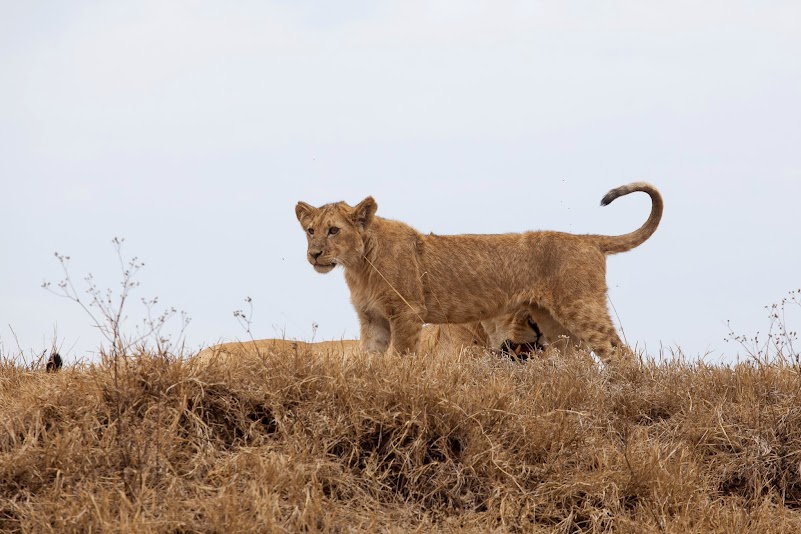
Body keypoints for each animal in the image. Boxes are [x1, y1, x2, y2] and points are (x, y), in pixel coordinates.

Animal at [296, 182, 660, 362]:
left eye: (333, 231)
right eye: (310, 230)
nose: (314, 254)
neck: (359, 265)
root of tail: (588, 239)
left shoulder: (407, 313)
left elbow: (399, 358)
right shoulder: (372, 319)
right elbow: (370, 360)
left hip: (580, 309)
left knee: (620, 353)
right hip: (556, 327)